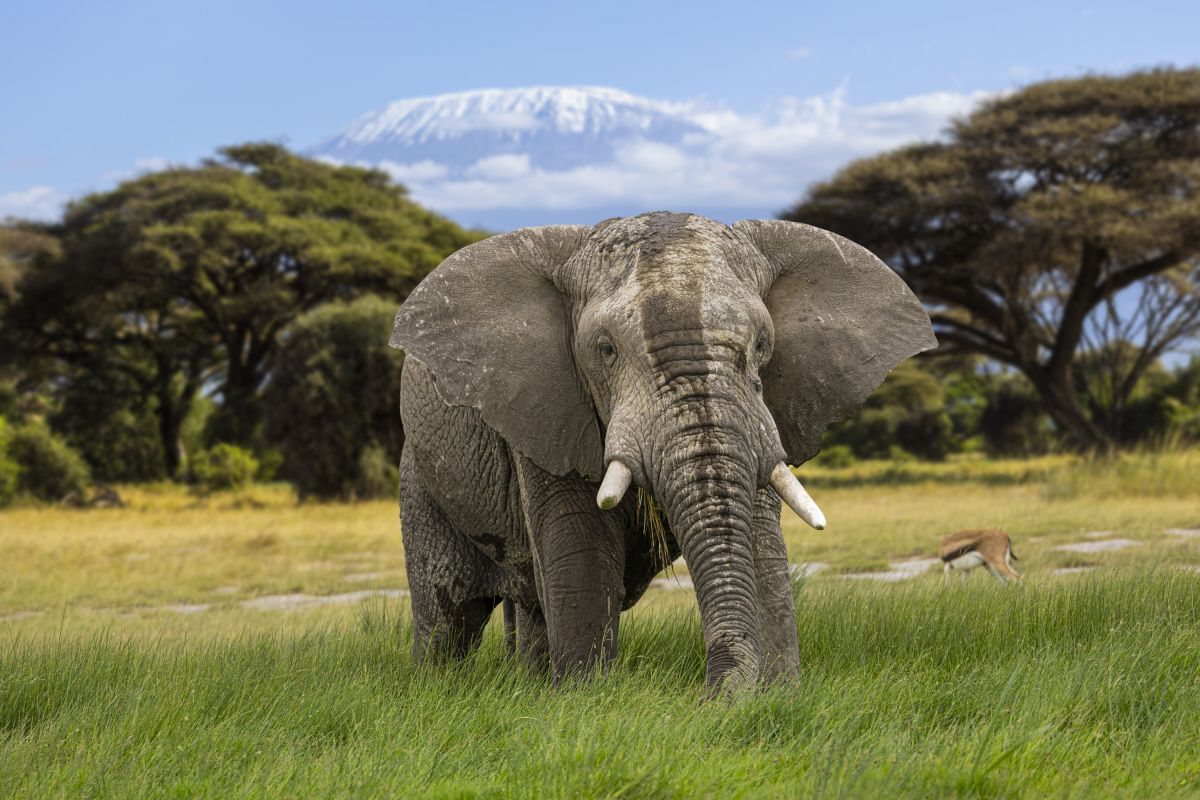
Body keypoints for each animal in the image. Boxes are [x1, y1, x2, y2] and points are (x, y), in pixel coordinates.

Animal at [390, 212, 935, 693]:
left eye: (763, 344)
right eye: (604, 349)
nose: (709, 698)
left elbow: (760, 546)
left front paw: (777, 695)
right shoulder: (547, 406)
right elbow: (581, 552)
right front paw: (584, 700)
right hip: (419, 474)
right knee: (448, 616)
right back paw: (440, 690)